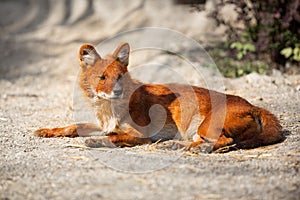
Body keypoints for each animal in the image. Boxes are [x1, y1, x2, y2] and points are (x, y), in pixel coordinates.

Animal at [34, 42, 282, 152]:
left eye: (120, 77)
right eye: (102, 77)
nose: (117, 91)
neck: (108, 108)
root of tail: (253, 105)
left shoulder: (141, 135)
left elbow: (116, 137)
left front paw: (98, 141)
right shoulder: (102, 125)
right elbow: (72, 127)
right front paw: (47, 130)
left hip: (206, 124)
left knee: (224, 141)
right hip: (196, 129)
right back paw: (173, 145)